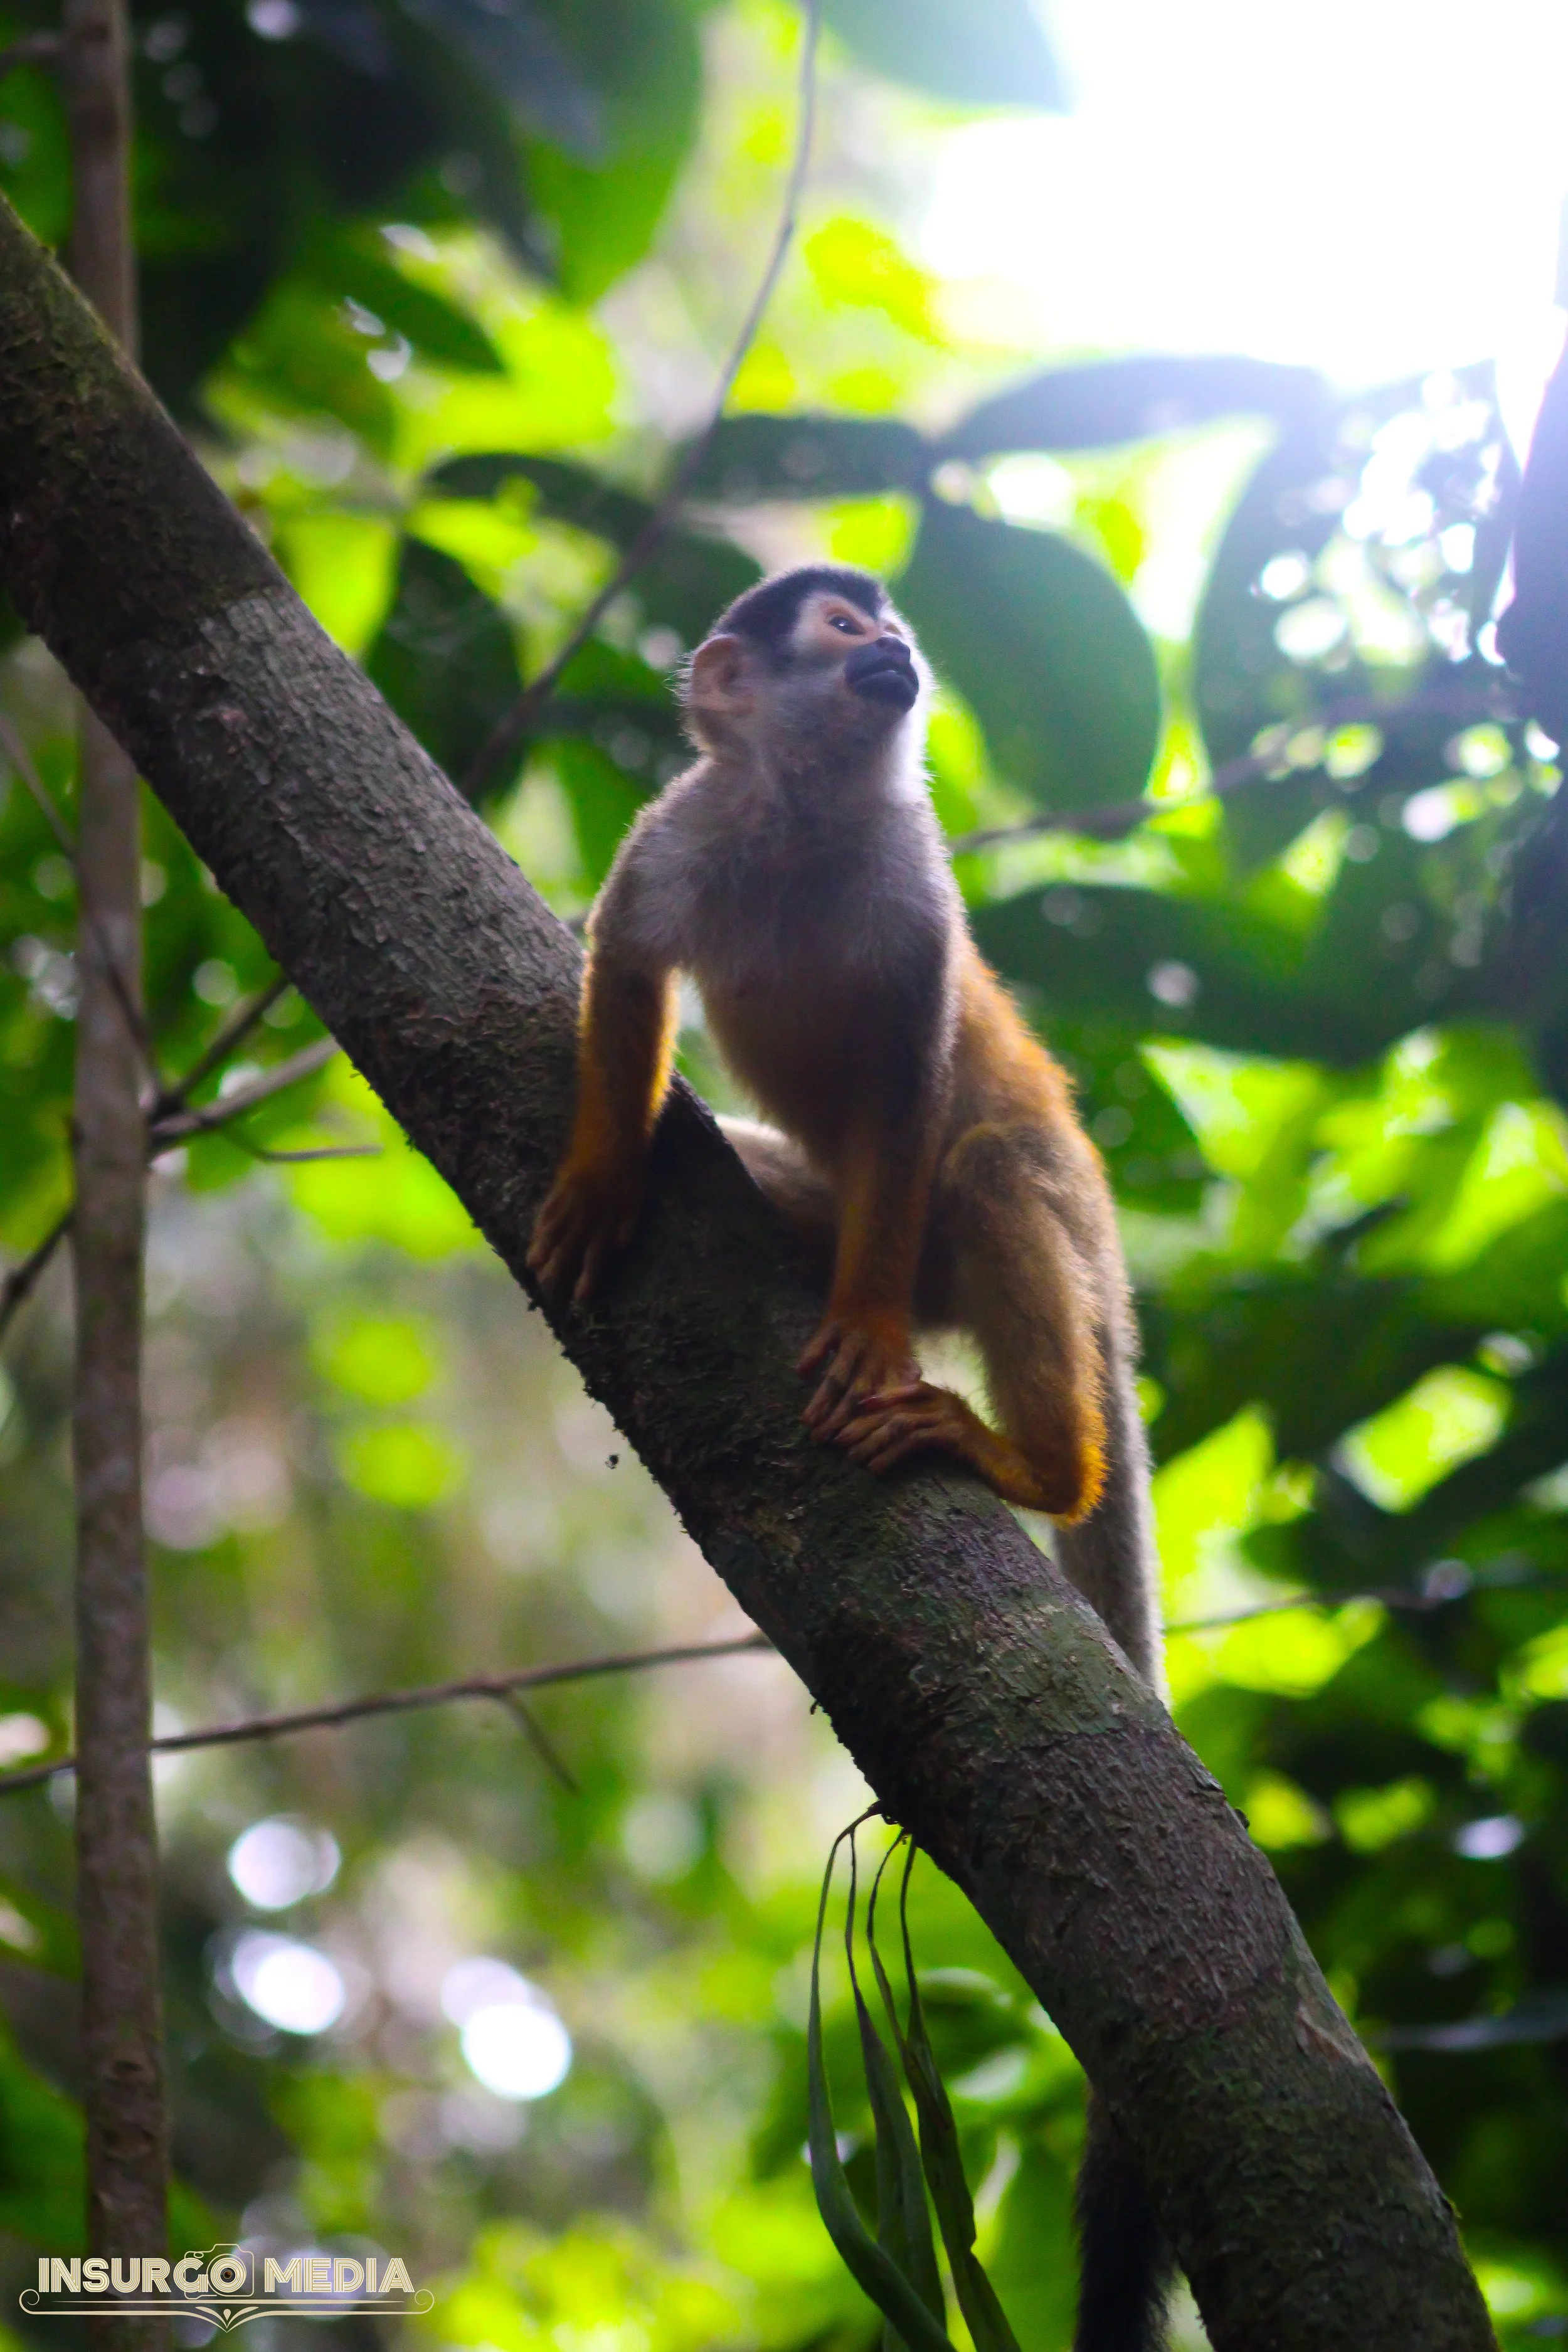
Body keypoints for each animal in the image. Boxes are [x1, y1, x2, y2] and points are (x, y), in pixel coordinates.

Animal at [527, 563, 1171, 2352]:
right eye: (832, 626)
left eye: (886, 620)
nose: (891, 646)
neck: (810, 822)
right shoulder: (680, 831)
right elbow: (625, 968)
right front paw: (603, 1165)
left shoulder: (918, 901)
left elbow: (904, 1083)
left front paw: (875, 1336)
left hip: (1054, 1228)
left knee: (991, 1159)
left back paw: (1041, 1465)